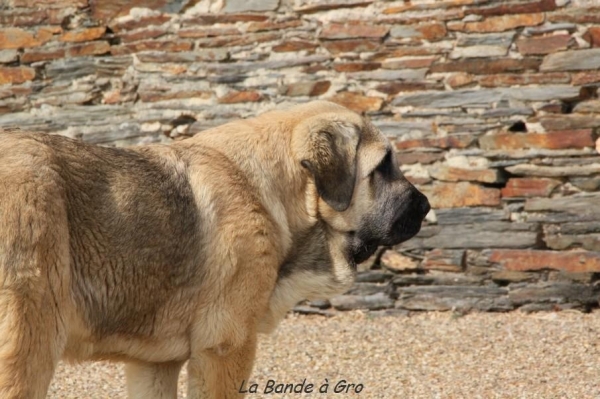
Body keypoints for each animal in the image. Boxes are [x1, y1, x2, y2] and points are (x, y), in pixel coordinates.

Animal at [1, 101, 432, 399]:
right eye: (383, 167)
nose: (427, 205)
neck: (273, 192)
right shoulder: (225, 347)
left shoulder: (153, 364)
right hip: (28, 342)